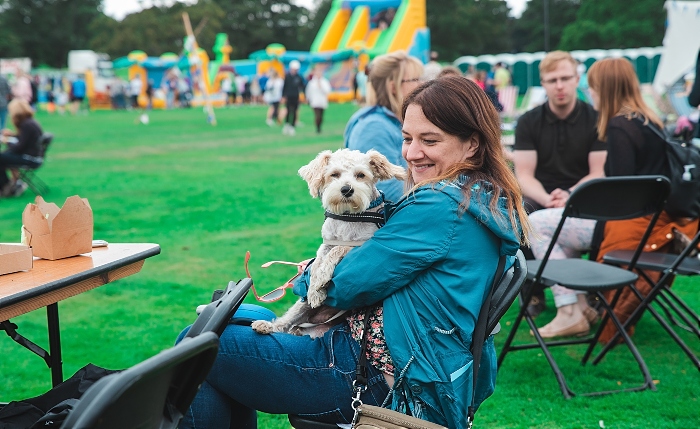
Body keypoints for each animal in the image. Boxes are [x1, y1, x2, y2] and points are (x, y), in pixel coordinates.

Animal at [250, 147, 404, 338]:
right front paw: (315, 288)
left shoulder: (361, 244)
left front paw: (321, 278)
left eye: (361, 175)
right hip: (301, 306)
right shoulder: (327, 242)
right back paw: (267, 326)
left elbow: (337, 249)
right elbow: (318, 261)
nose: (346, 189)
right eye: (334, 174)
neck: (347, 215)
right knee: (286, 323)